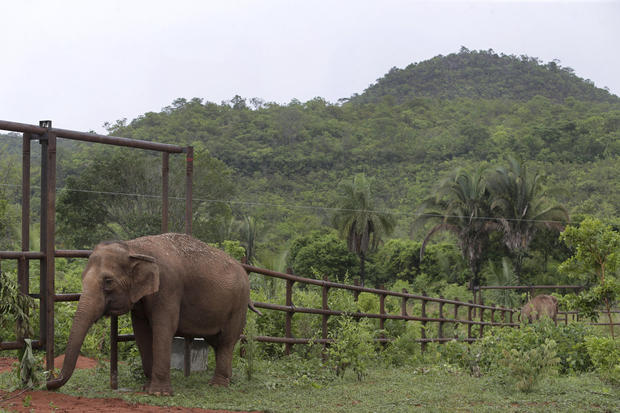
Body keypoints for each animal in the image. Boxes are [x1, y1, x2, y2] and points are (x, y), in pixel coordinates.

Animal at [47, 232, 258, 392]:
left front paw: (158, 393)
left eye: (108, 282)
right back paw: (227, 380)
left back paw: (218, 385)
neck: (133, 248)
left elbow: (163, 327)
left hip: (238, 305)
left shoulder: (169, 287)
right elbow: (141, 331)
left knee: (226, 341)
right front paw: (147, 388)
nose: (49, 381)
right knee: (216, 341)